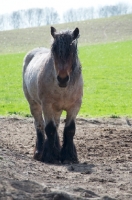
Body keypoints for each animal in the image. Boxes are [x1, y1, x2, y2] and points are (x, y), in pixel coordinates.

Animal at [22, 26, 82, 164]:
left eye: (72, 51)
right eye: (54, 51)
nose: (62, 78)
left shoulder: (75, 107)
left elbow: (69, 129)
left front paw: (68, 156)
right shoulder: (47, 106)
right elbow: (49, 129)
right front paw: (50, 156)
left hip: (57, 109)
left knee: (57, 124)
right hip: (34, 105)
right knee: (39, 125)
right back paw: (39, 152)